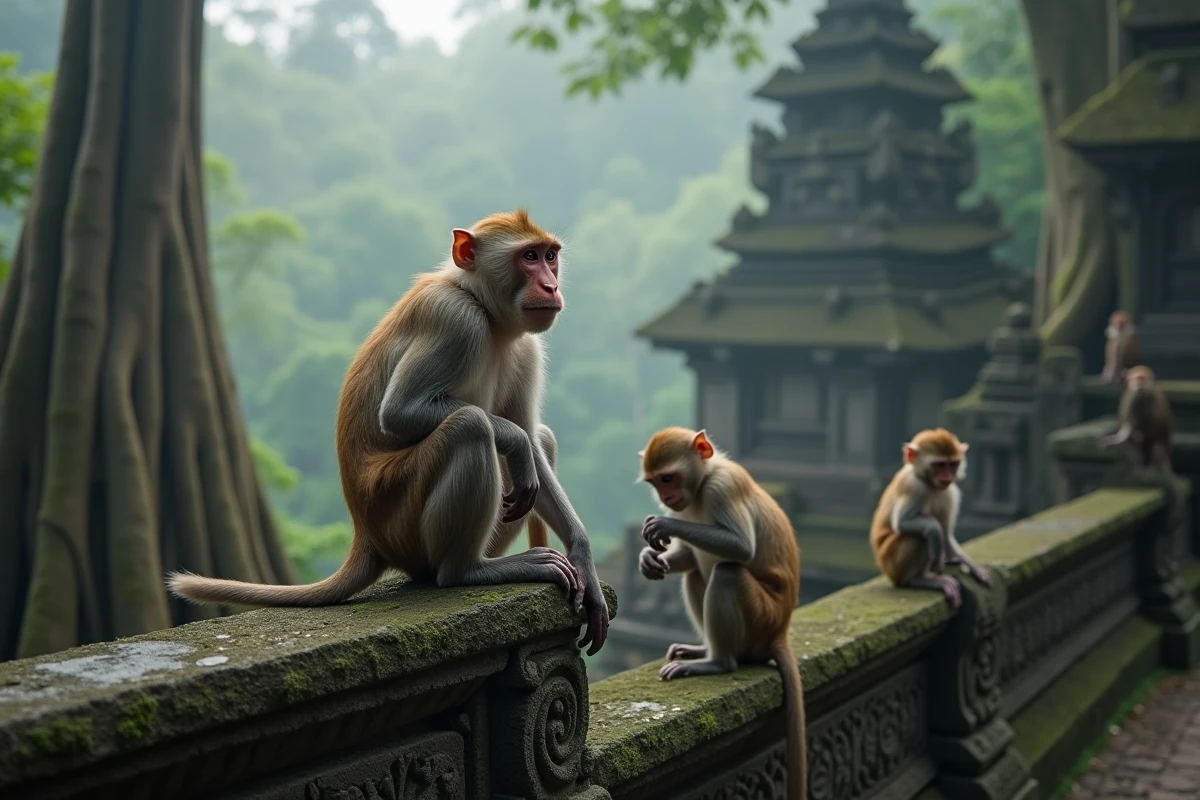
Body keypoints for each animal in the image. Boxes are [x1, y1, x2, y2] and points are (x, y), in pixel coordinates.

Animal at [167, 209, 610, 654]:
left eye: (551, 257)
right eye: (529, 257)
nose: (551, 286)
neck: (484, 309)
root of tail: (367, 535)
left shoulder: (526, 349)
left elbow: (530, 441)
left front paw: (585, 564)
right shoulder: (455, 320)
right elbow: (402, 413)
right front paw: (515, 443)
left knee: (536, 439)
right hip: (398, 513)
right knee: (470, 427)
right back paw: (467, 570)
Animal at [637, 427, 807, 800]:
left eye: (667, 478)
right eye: (655, 482)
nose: (666, 497)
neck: (702, 485)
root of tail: (779, 632)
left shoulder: (723, 488)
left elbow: (741, 547)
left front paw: (664, 525)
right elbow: (687, 558)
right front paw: (649, 560)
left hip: (761, 618)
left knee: (728, 571)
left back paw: (717, 662)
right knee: (695, 573)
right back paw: (702, 649)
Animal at [869, 428, 990, 610]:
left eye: (952, 464)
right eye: (939, 465)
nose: (947, 477)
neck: (929, 483)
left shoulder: (950, 493)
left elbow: (946, 535)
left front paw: (969, 564)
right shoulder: (913, 486)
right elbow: (903, 522)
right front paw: (934, 530)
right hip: (892, 563)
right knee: (917, 537)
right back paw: (917, 580)